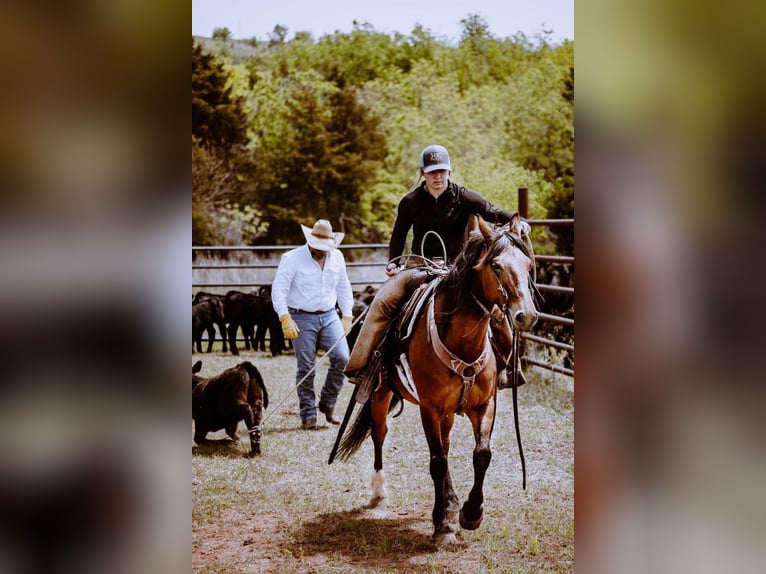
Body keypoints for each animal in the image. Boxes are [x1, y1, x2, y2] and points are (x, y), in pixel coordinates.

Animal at [336, 215, 540, 544]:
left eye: (528, 264)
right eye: (496, 265)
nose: (526, 316)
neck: (461, 341)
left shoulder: (484, 404)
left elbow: (481, 454)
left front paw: (471, 512)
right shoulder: (429, 408)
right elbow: (436, 462)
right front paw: (442, 523)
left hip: (447, 412)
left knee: (444, 444)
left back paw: (452, 501)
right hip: (380, 394)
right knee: (380, 435)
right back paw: (380, 494)